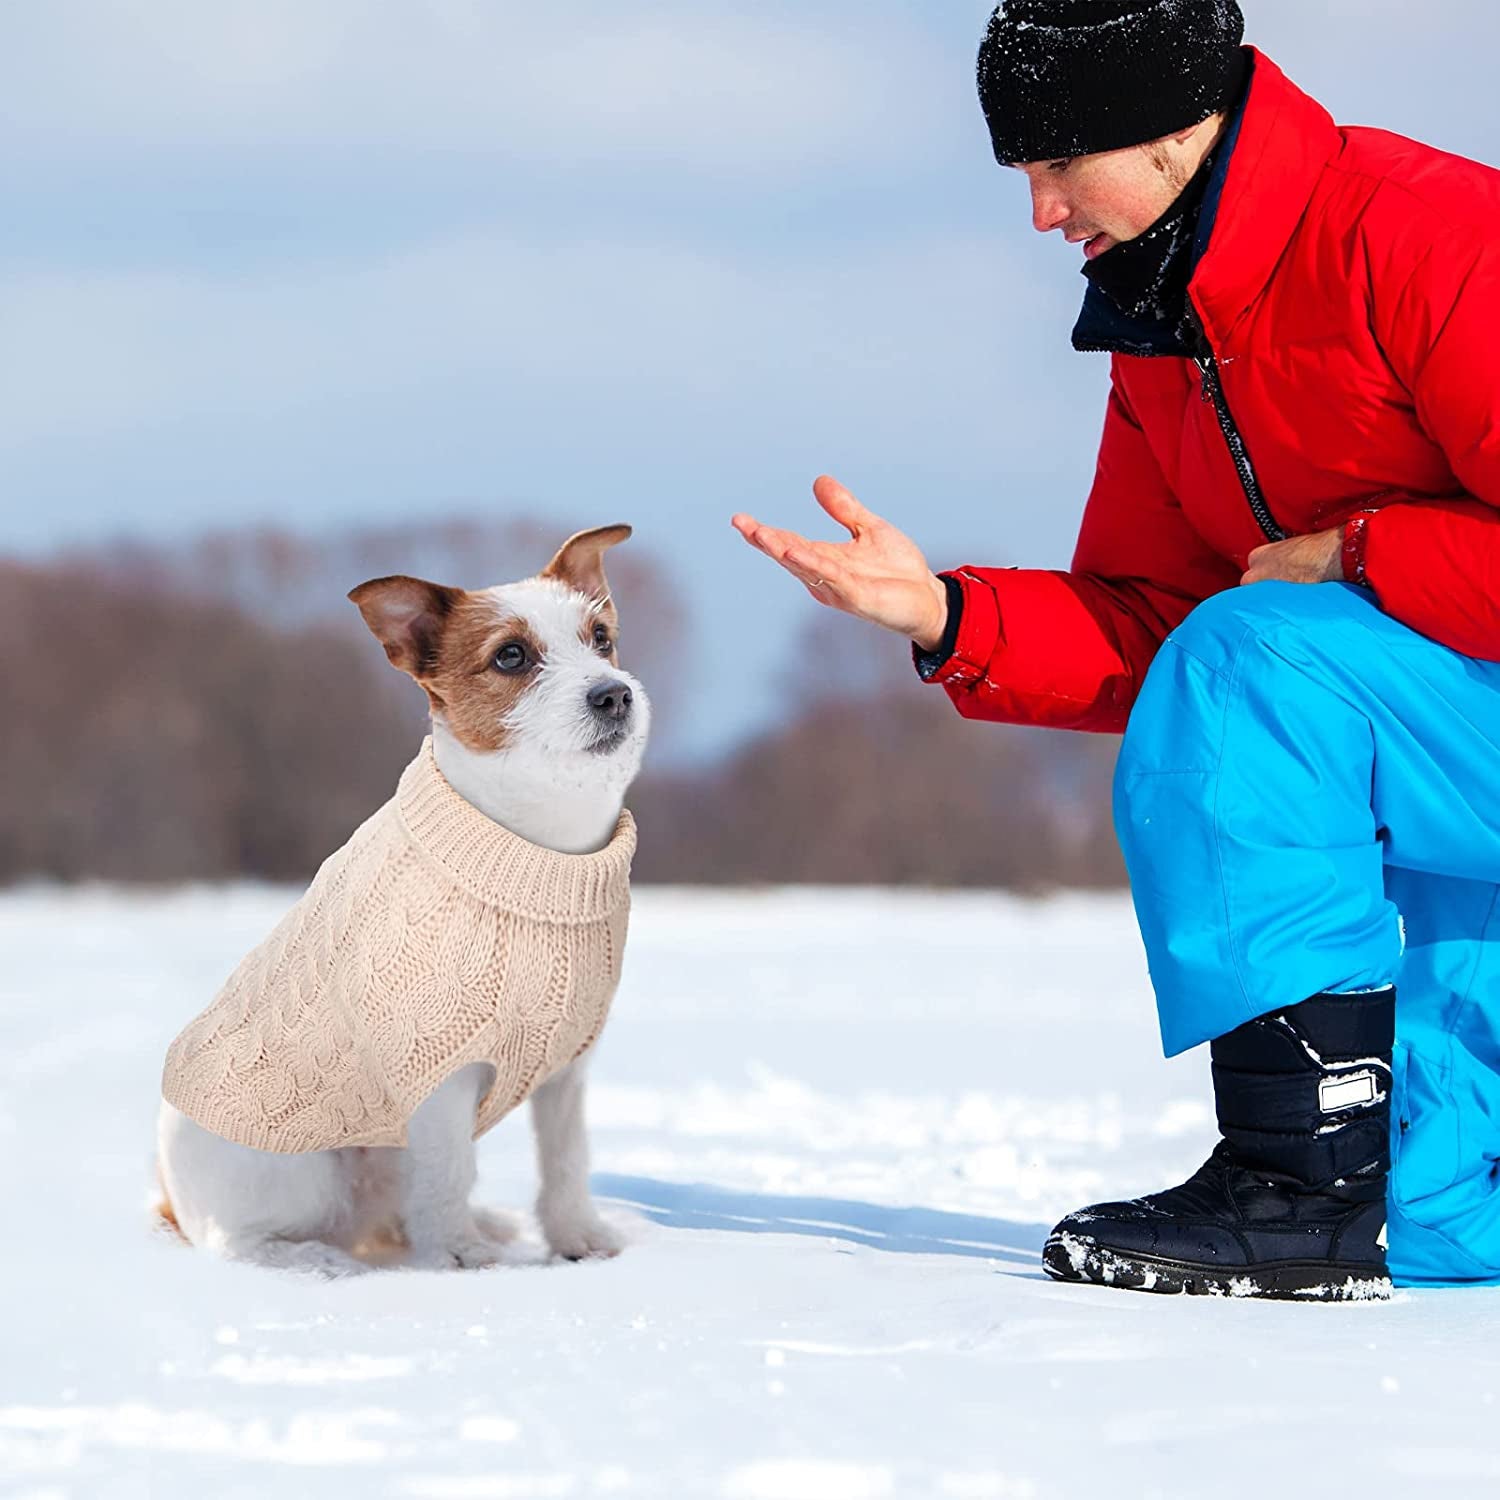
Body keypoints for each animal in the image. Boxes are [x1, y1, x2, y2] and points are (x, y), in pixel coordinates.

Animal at [155, 528, 654, 1278]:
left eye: (601, 638)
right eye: (511, 655)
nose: (614, 695)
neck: (538, 848)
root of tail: (167, 1191)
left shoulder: (565, 1066)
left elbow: (566, 1162)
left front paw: (578, 1240)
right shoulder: (439, 1076)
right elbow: (448, 1172)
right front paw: (464, 1259)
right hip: (309, 1169)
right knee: (235, 1242)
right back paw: (318, 1261)